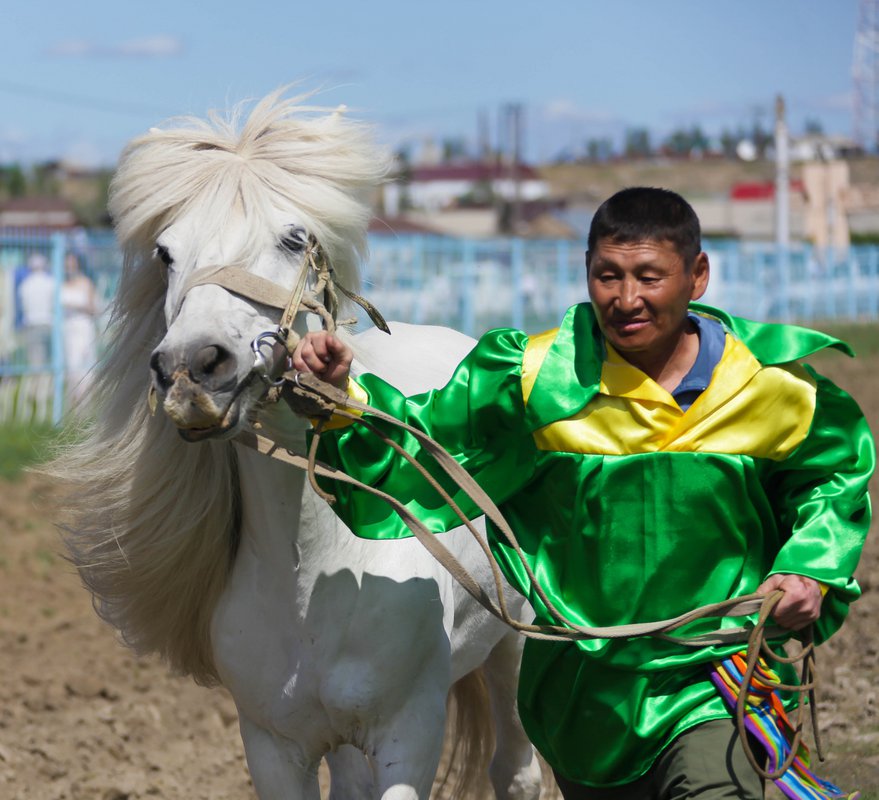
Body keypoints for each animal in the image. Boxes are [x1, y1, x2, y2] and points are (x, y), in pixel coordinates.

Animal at [49, 90, 544, 796]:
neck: (312, 568)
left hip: (514, 645)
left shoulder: (410, 736)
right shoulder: (274, 747)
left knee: (517, 768)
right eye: (166, 253)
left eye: (294, 238)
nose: (192, 368)